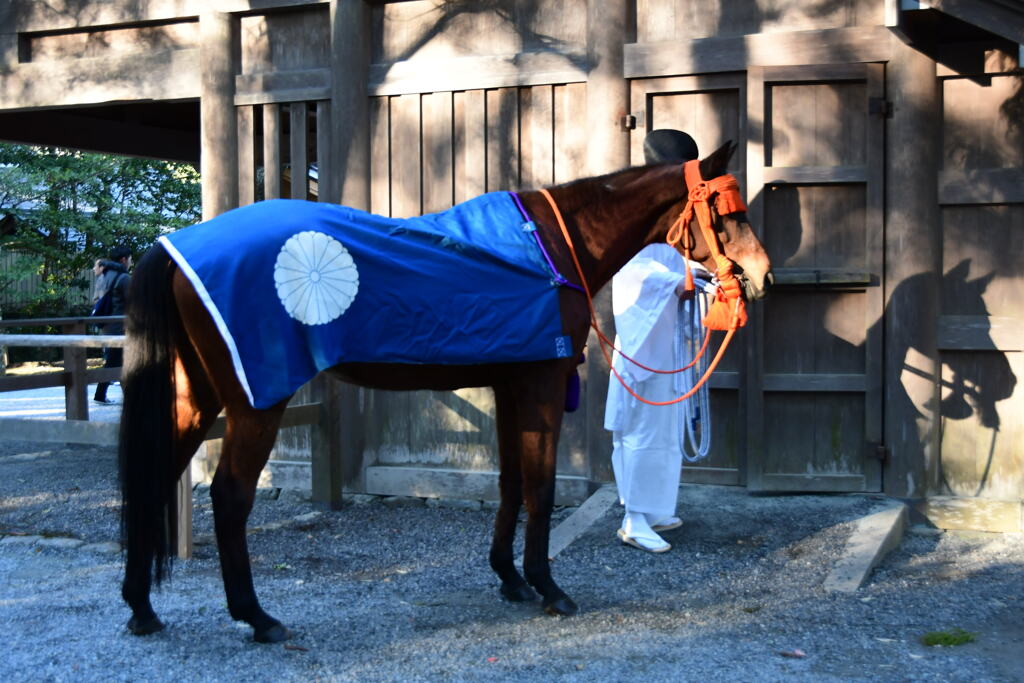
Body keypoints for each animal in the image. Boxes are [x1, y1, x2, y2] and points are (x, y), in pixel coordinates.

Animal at [117, 139, 770, 643]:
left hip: (195, 398)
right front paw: (548, 586)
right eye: (727, 210)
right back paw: (256, 617)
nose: (760, 275)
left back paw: (142, 608)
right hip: (256, 403)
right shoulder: (542, 383)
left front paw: (510, 577)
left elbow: (512, 481)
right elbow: (540, 486)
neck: (551, 247)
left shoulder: (512, 382)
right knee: (229, 495)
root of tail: (175, 247)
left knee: (156, 474)